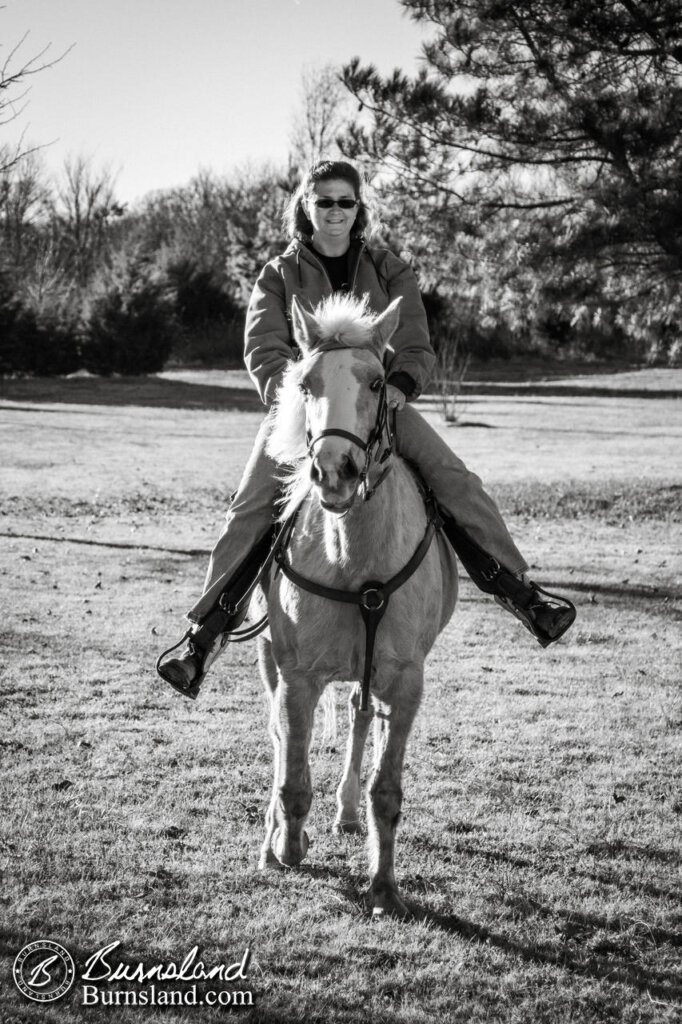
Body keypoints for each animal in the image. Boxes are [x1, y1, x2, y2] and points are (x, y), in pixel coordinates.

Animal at [256, 290, 456, 921]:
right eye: (306, 383)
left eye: (376, 382)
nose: (334, 471)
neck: (355, 560)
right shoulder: (296, 675)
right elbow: (293, 774)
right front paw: (287, 847)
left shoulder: (407, 681)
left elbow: (386, 792)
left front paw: (385, 887)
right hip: (270, 660)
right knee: (279, 739)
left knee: (361, 717)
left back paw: (345, 811)